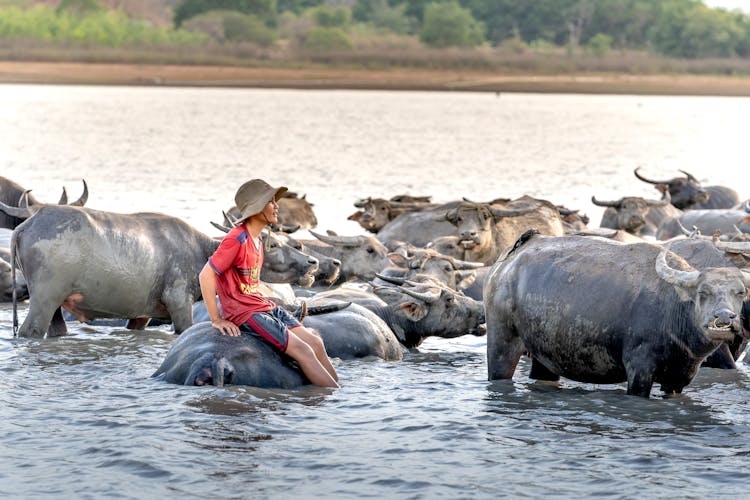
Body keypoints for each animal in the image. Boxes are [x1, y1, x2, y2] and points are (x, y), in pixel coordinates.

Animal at [488, 231, 750, 398]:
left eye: (740, 292)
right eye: (703, 292)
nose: (724, 318)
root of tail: (506, 264)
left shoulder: (677, 380)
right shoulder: (639, 370)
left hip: (545, 357)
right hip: (502, 343)